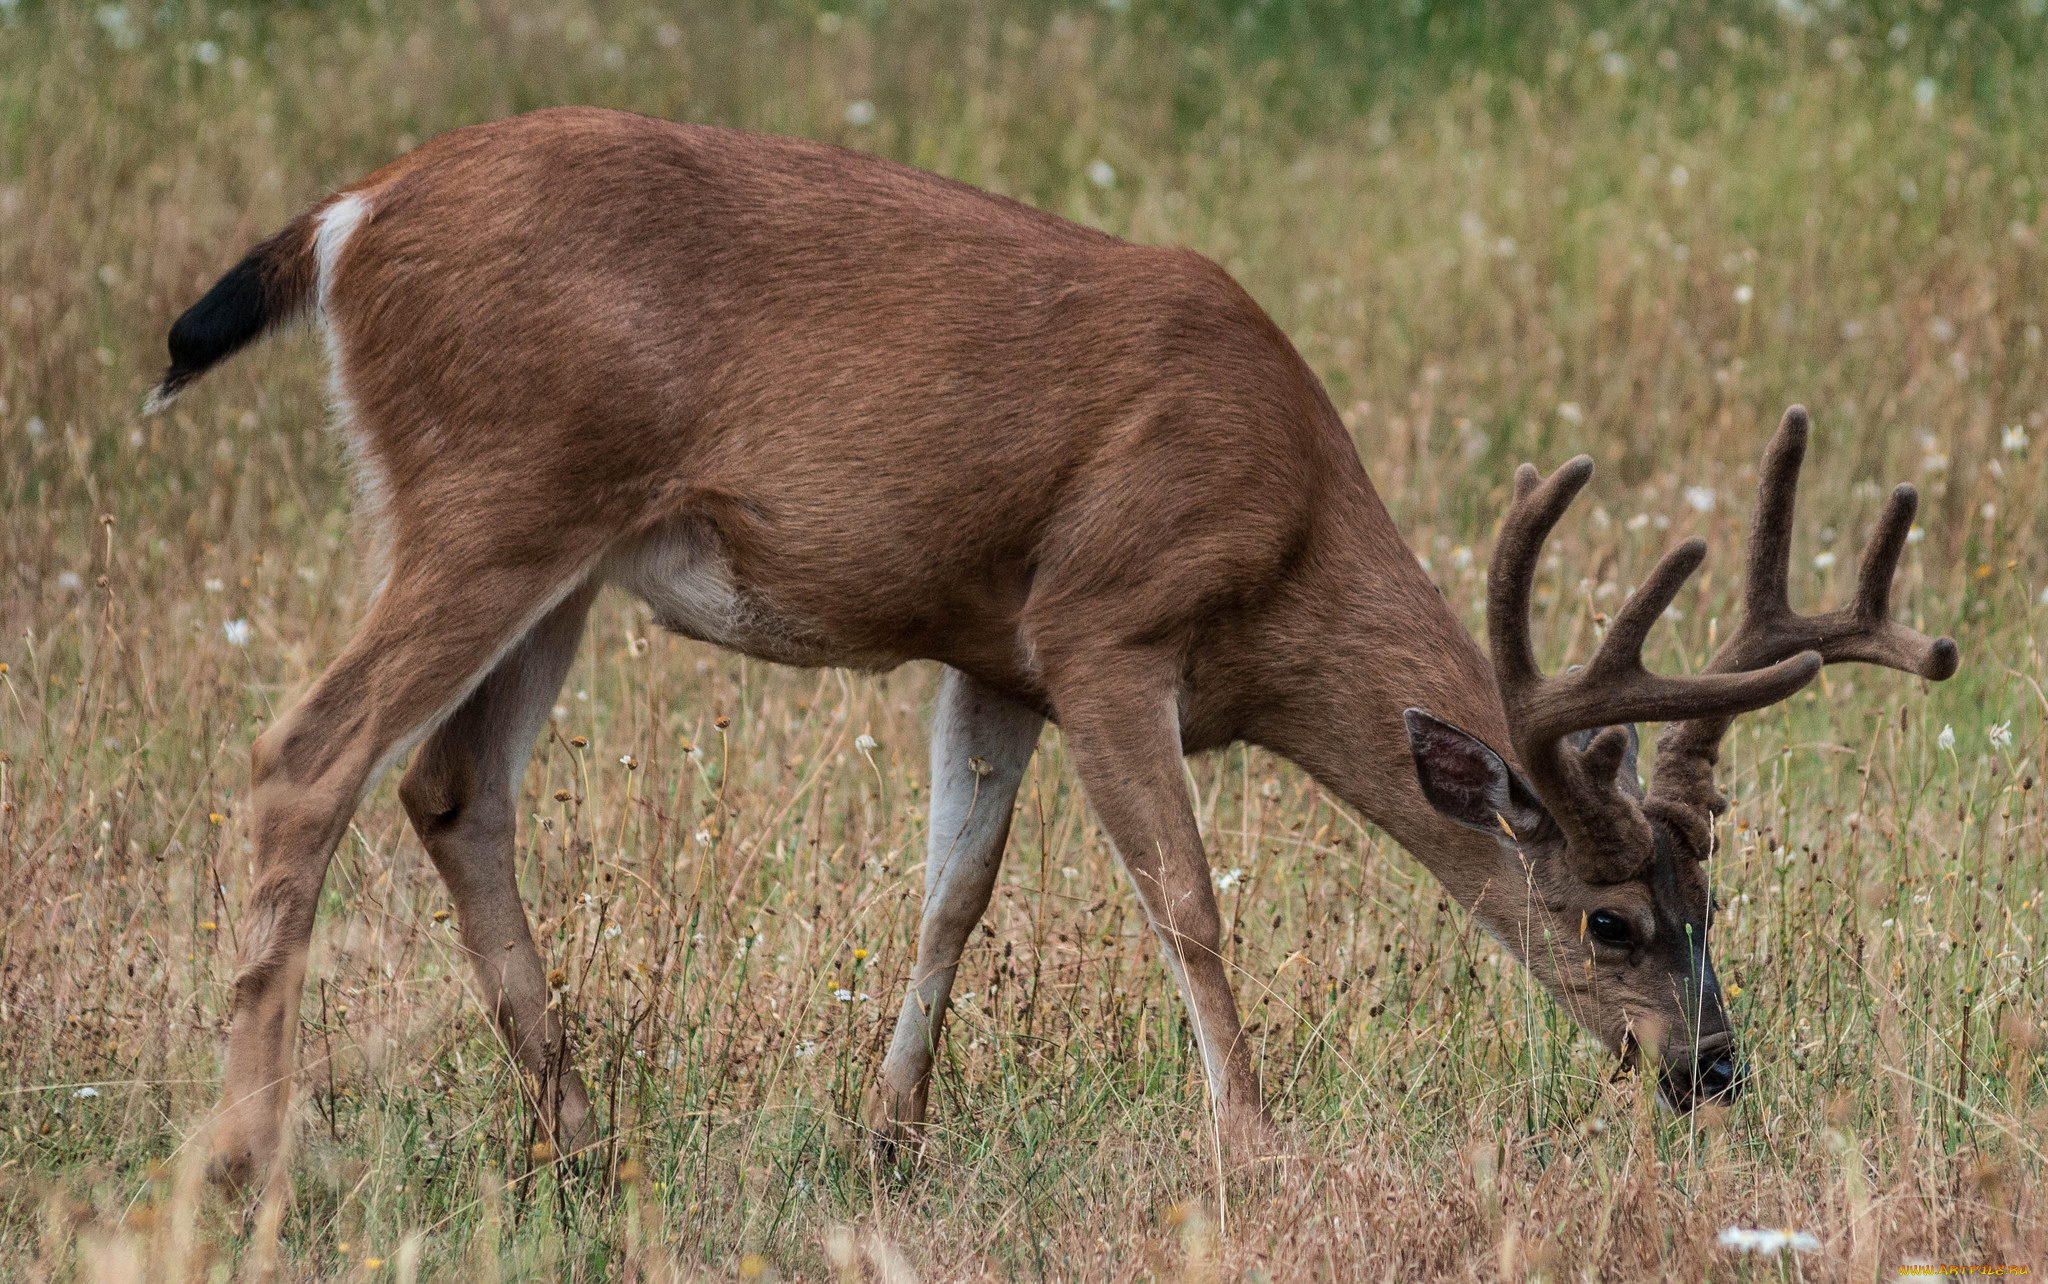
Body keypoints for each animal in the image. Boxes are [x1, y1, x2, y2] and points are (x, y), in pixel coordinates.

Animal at [144, 105, 1949, 1187]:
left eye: (1713, 903)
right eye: (1611, 917)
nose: (1711, 1067)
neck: (1287, 537)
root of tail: (344, 218)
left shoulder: (991, 653)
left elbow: (953, 889)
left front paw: (888, 1136)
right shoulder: (1104, 618)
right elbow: (1186, 896)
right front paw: (1251, 1144)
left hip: (563, 553)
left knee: (453, 789)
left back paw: (581, 1137)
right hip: (497, 493)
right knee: (304, 755)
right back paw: (243, 1153)